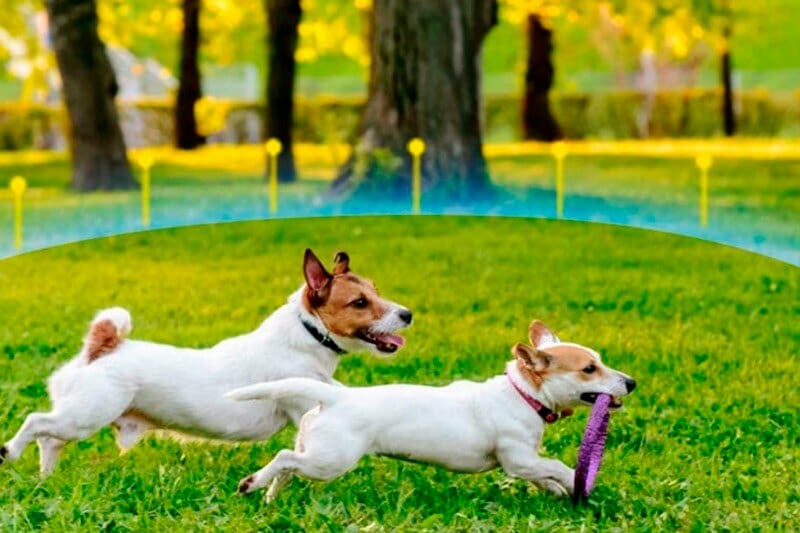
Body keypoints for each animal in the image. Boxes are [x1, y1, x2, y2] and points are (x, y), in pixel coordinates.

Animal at [0, 247, 412, 476]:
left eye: (376, 290)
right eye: (359, 303)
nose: (407, 314)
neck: (306, 334)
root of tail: (102, 347)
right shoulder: (302, 403)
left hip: (77, 419)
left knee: (50, 440)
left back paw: (46, 477)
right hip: (86, 414)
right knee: (36, 423)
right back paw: (11, 452)